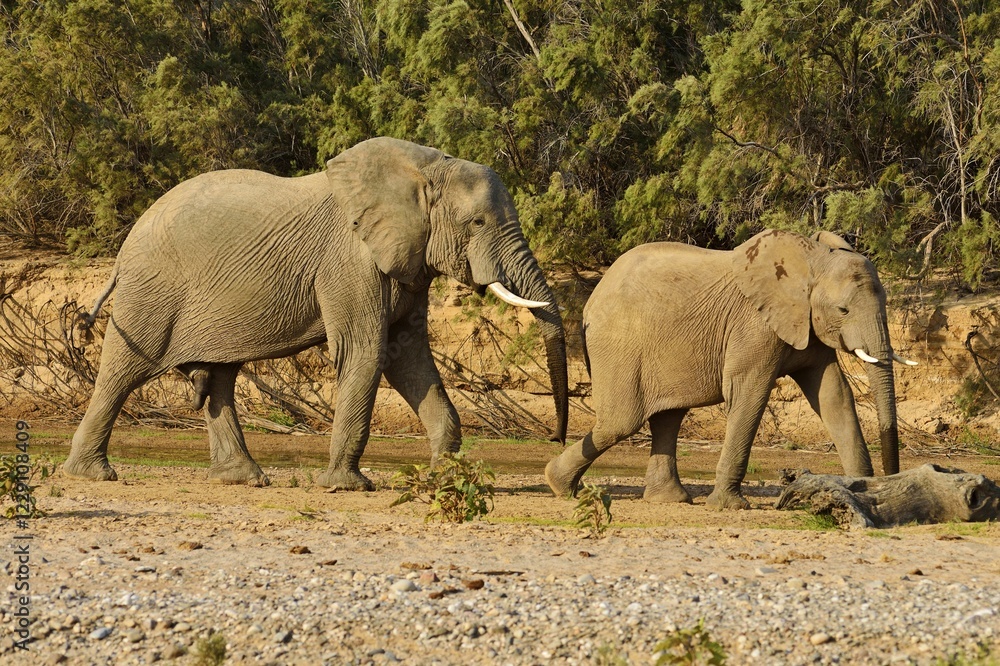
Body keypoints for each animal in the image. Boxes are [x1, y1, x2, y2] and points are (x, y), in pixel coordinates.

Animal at [64, 137, 568, 489]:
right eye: (477, 223)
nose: (557, 440)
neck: (423, 169)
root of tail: (126, 243)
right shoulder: (349, 261)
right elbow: (366, 353)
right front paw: (346, 486)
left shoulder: (408, 263)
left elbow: (409, 359)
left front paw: (444, 477)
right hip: (151, 292)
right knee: (123, 371)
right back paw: (93, 475)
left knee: (221, 378)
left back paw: (244, 479)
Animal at [544, 229, 915, 509]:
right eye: (843, 309)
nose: (889, 477)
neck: (811, 259)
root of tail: (593, 296)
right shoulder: (754, 325)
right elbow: (749, 393)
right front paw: (730, 506)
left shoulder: (807, 325)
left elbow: (833, 396)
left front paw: (859, 488)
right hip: (618, 344)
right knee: (621, 422)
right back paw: (559, 486)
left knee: (667, 418)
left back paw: (669, 500)